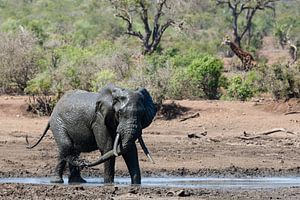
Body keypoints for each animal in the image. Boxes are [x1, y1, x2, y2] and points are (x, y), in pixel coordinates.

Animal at [26, 84, 157, 184]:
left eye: (142, 114)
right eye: (119, 113)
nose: (83, 163)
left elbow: (130, 151)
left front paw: (136, 185)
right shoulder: (99, 120)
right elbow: (107, 148)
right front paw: (108, 184)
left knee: (72, 150)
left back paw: (77, 181)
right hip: (57, 123)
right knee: (66, 146)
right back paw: (58, 181)